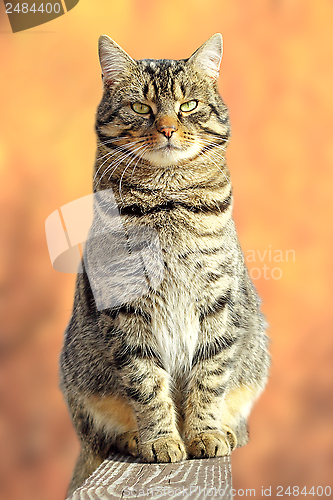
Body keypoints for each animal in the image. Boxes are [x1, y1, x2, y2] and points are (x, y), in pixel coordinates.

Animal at [61, 33, 270, 494]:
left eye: (188, 105)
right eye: (142, 108)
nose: (168, 128)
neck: (168, 196)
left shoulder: (216, 300)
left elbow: (209, 376)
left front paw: (205, 434)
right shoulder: (127, 309)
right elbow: (146, 384)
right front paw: (160, 439)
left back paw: (227, 430)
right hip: (81, 387)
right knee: (101, 433)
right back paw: (134, 437)